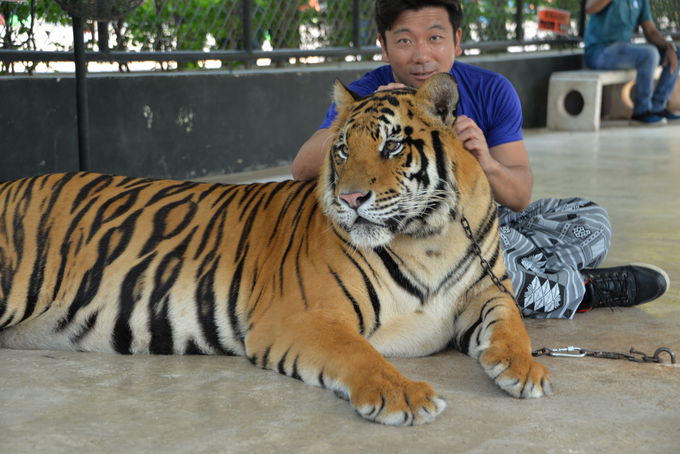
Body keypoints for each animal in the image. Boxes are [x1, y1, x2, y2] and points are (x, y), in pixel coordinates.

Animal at [0, 73, 552, 426]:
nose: (351, 199)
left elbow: (512, 323)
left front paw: (522, 369)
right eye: (342, 150)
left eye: (393, 145)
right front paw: (402, 395)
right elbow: (359, 352)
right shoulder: (303, 315)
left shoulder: (487, 289)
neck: (427, 235)